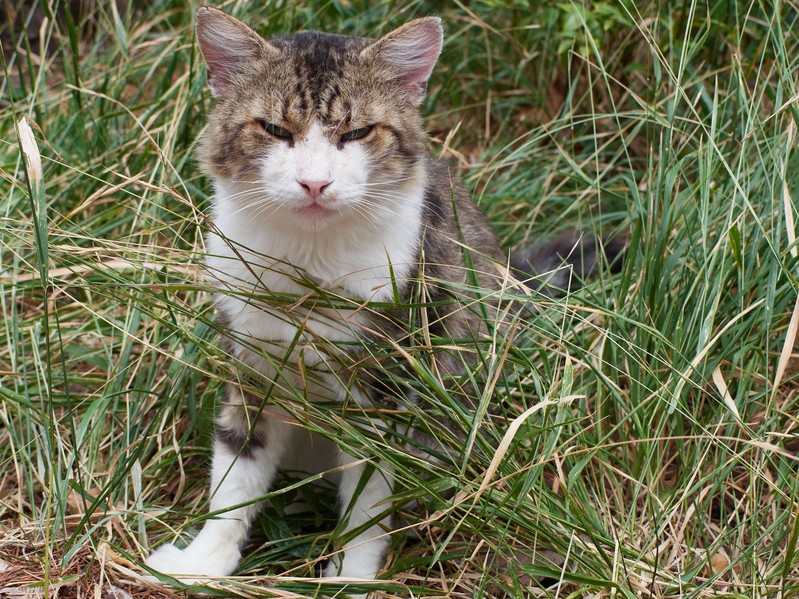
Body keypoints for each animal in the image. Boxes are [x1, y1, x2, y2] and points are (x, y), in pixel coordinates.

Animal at [144, 5, 620, 596]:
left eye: (357, 133)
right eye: (275, 129)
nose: (315, 183)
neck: (308, 265)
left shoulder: (382, 390)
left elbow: (367, 503)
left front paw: (350, 575)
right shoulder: (251, 365)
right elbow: (236, 475)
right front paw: (206, 561)